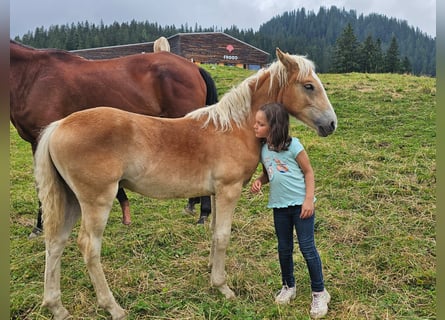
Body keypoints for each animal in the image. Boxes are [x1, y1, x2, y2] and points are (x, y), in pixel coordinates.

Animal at [33, 48, 336, 318]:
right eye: (309, 86)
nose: (331, 124)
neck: (233, 128)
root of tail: (58, 126)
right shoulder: (228, 190)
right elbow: (223, 236)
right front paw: (223, 287)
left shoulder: (214, 193)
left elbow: (213, 232)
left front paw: (212, 275)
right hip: (97, 201)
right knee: (88, 247)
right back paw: (113, 307)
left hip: (70, 199)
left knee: (55, 242)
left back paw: (57, 307)